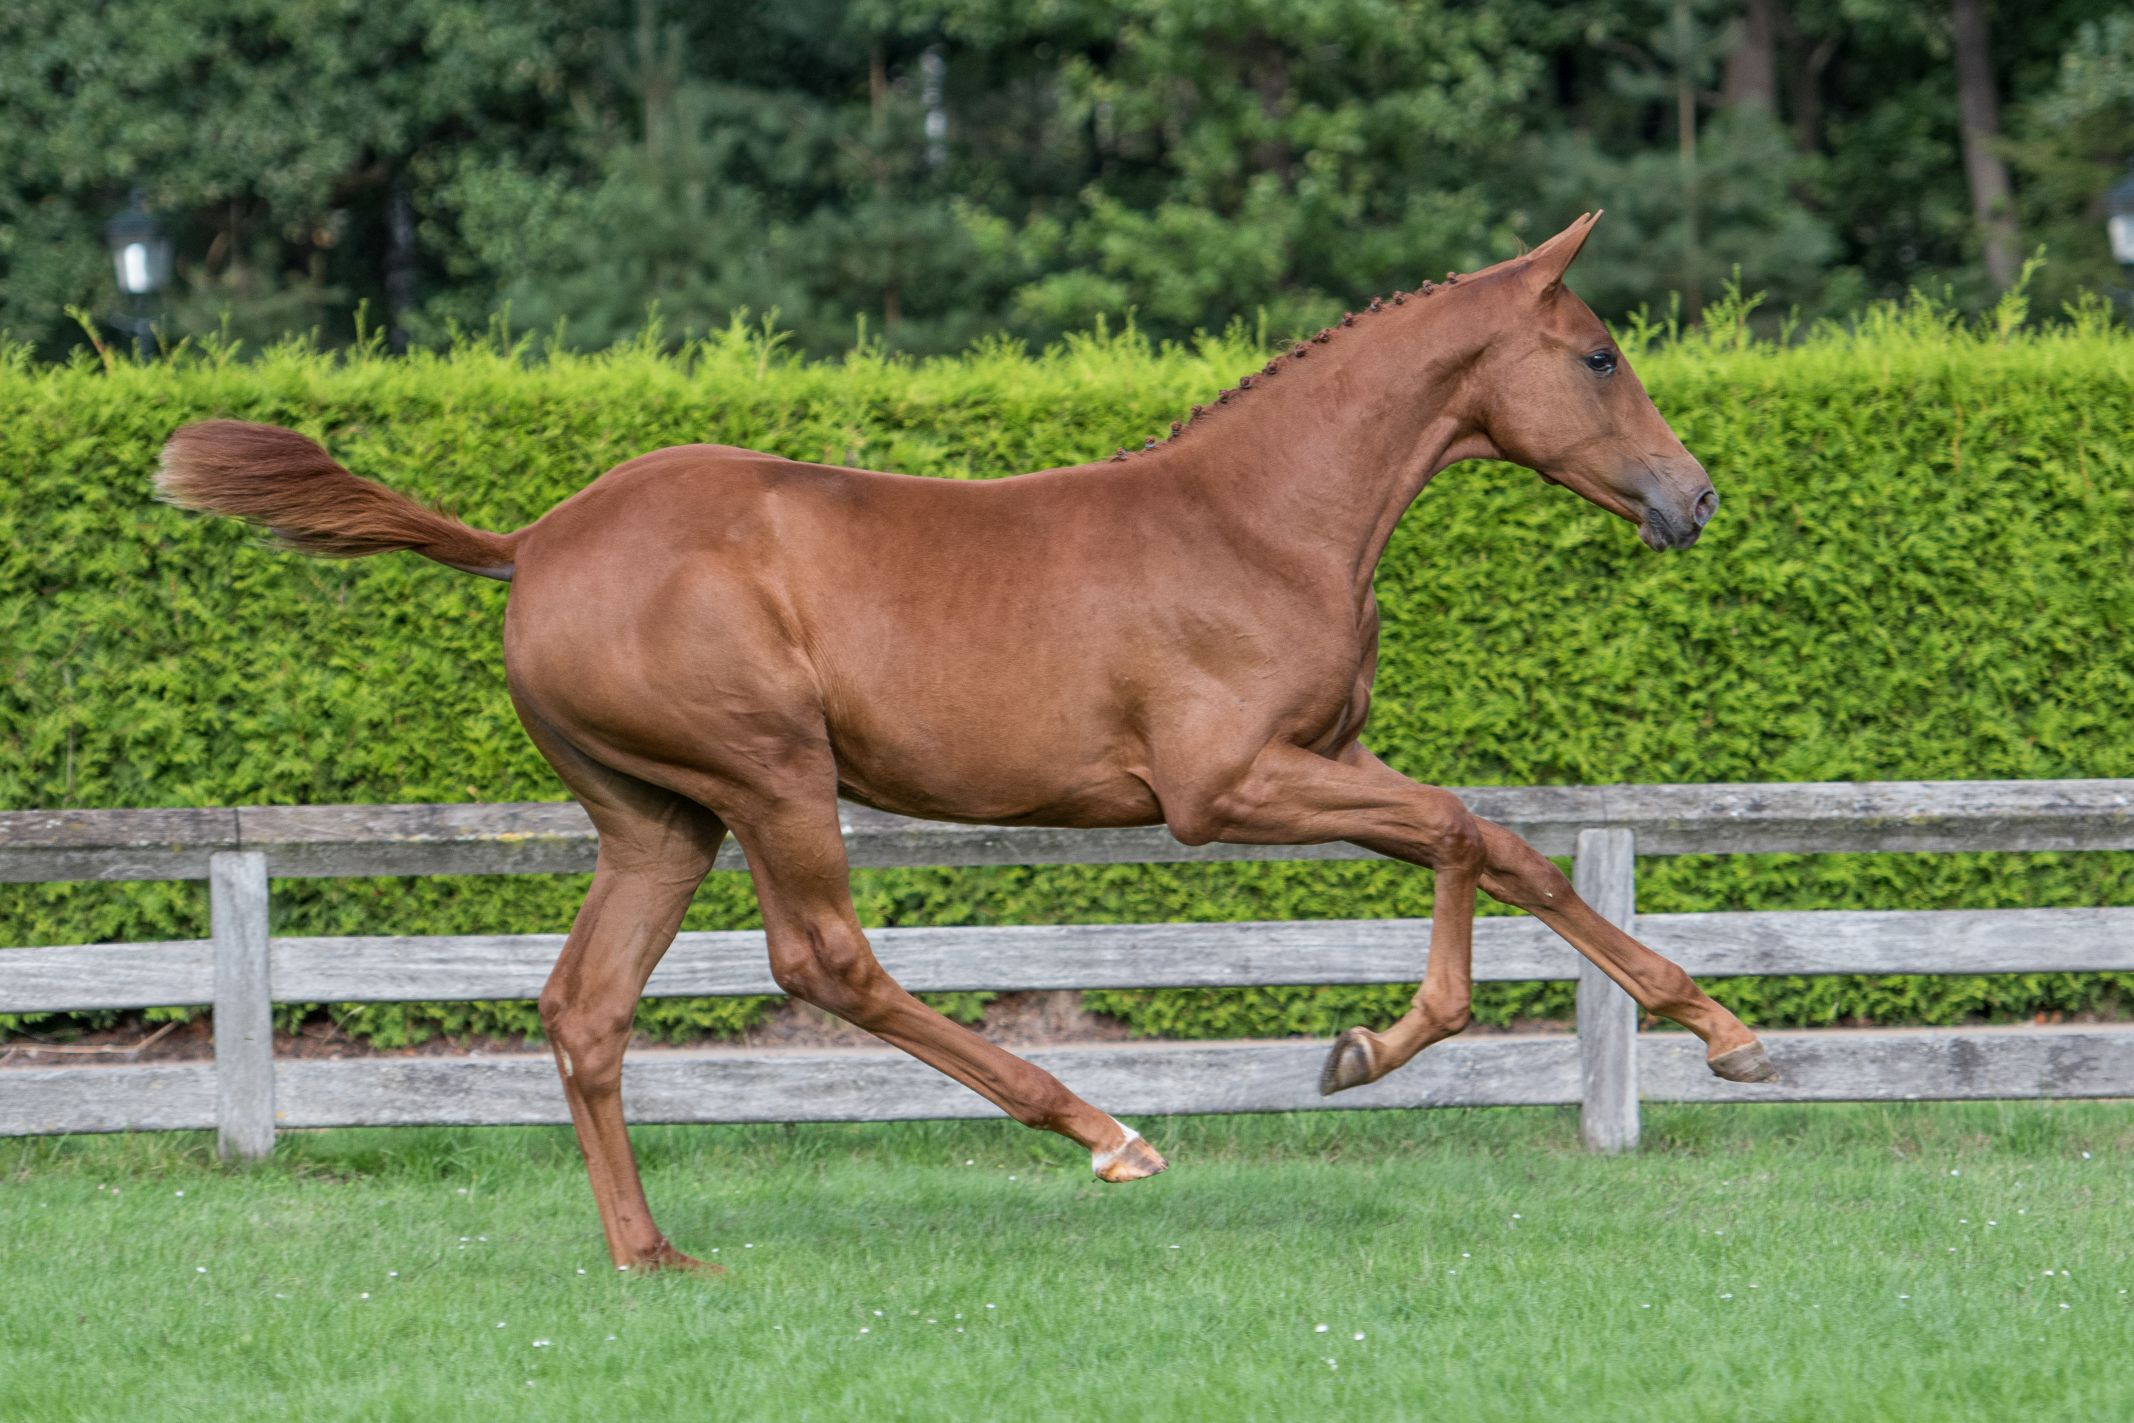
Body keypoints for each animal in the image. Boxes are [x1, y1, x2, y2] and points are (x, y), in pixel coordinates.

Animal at [156, 213, 1773, 1272]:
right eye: (1599, 354)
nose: (1691, 497)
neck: (1259, 521)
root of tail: (532, 543)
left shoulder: (1319, 763)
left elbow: (1497, 842)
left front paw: (1698, 1031)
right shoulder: (1223, 788)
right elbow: (1462, 826)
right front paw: (1383, 1046)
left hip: (657, 818)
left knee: (584, 1005)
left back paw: (650, 1253)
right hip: (769, 775)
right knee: (822, 960)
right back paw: (1103, 1129)